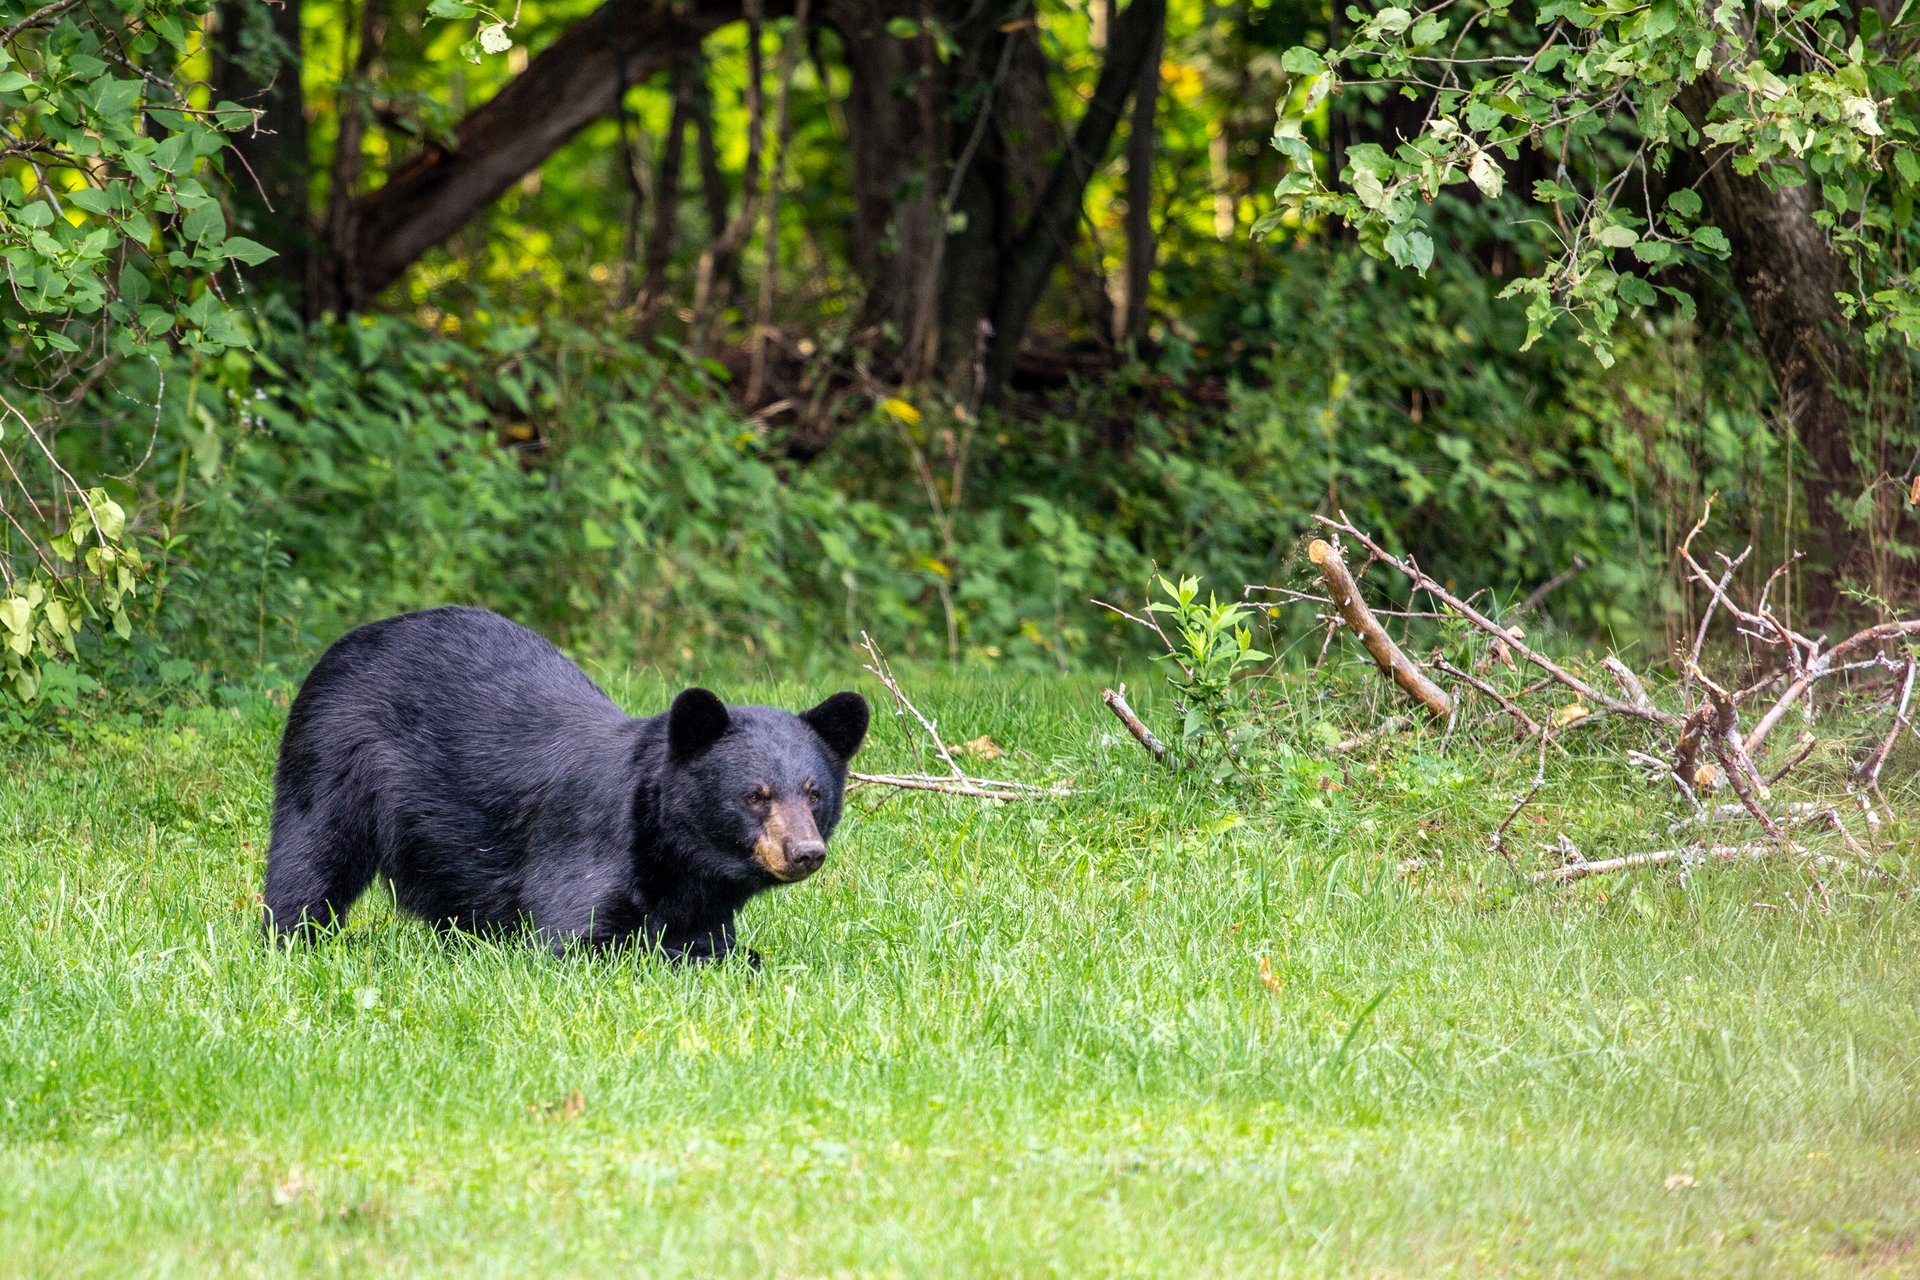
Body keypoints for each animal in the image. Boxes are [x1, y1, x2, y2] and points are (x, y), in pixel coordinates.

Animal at [261, 610, 871, 959]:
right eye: (755, 795)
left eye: (815, 793)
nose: (805, 851)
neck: (674, 855)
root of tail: (344, 644)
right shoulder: (587, 850)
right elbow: (576, 937)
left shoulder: (700, 901)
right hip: (334, 757)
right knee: (311, 857)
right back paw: (293, 941)